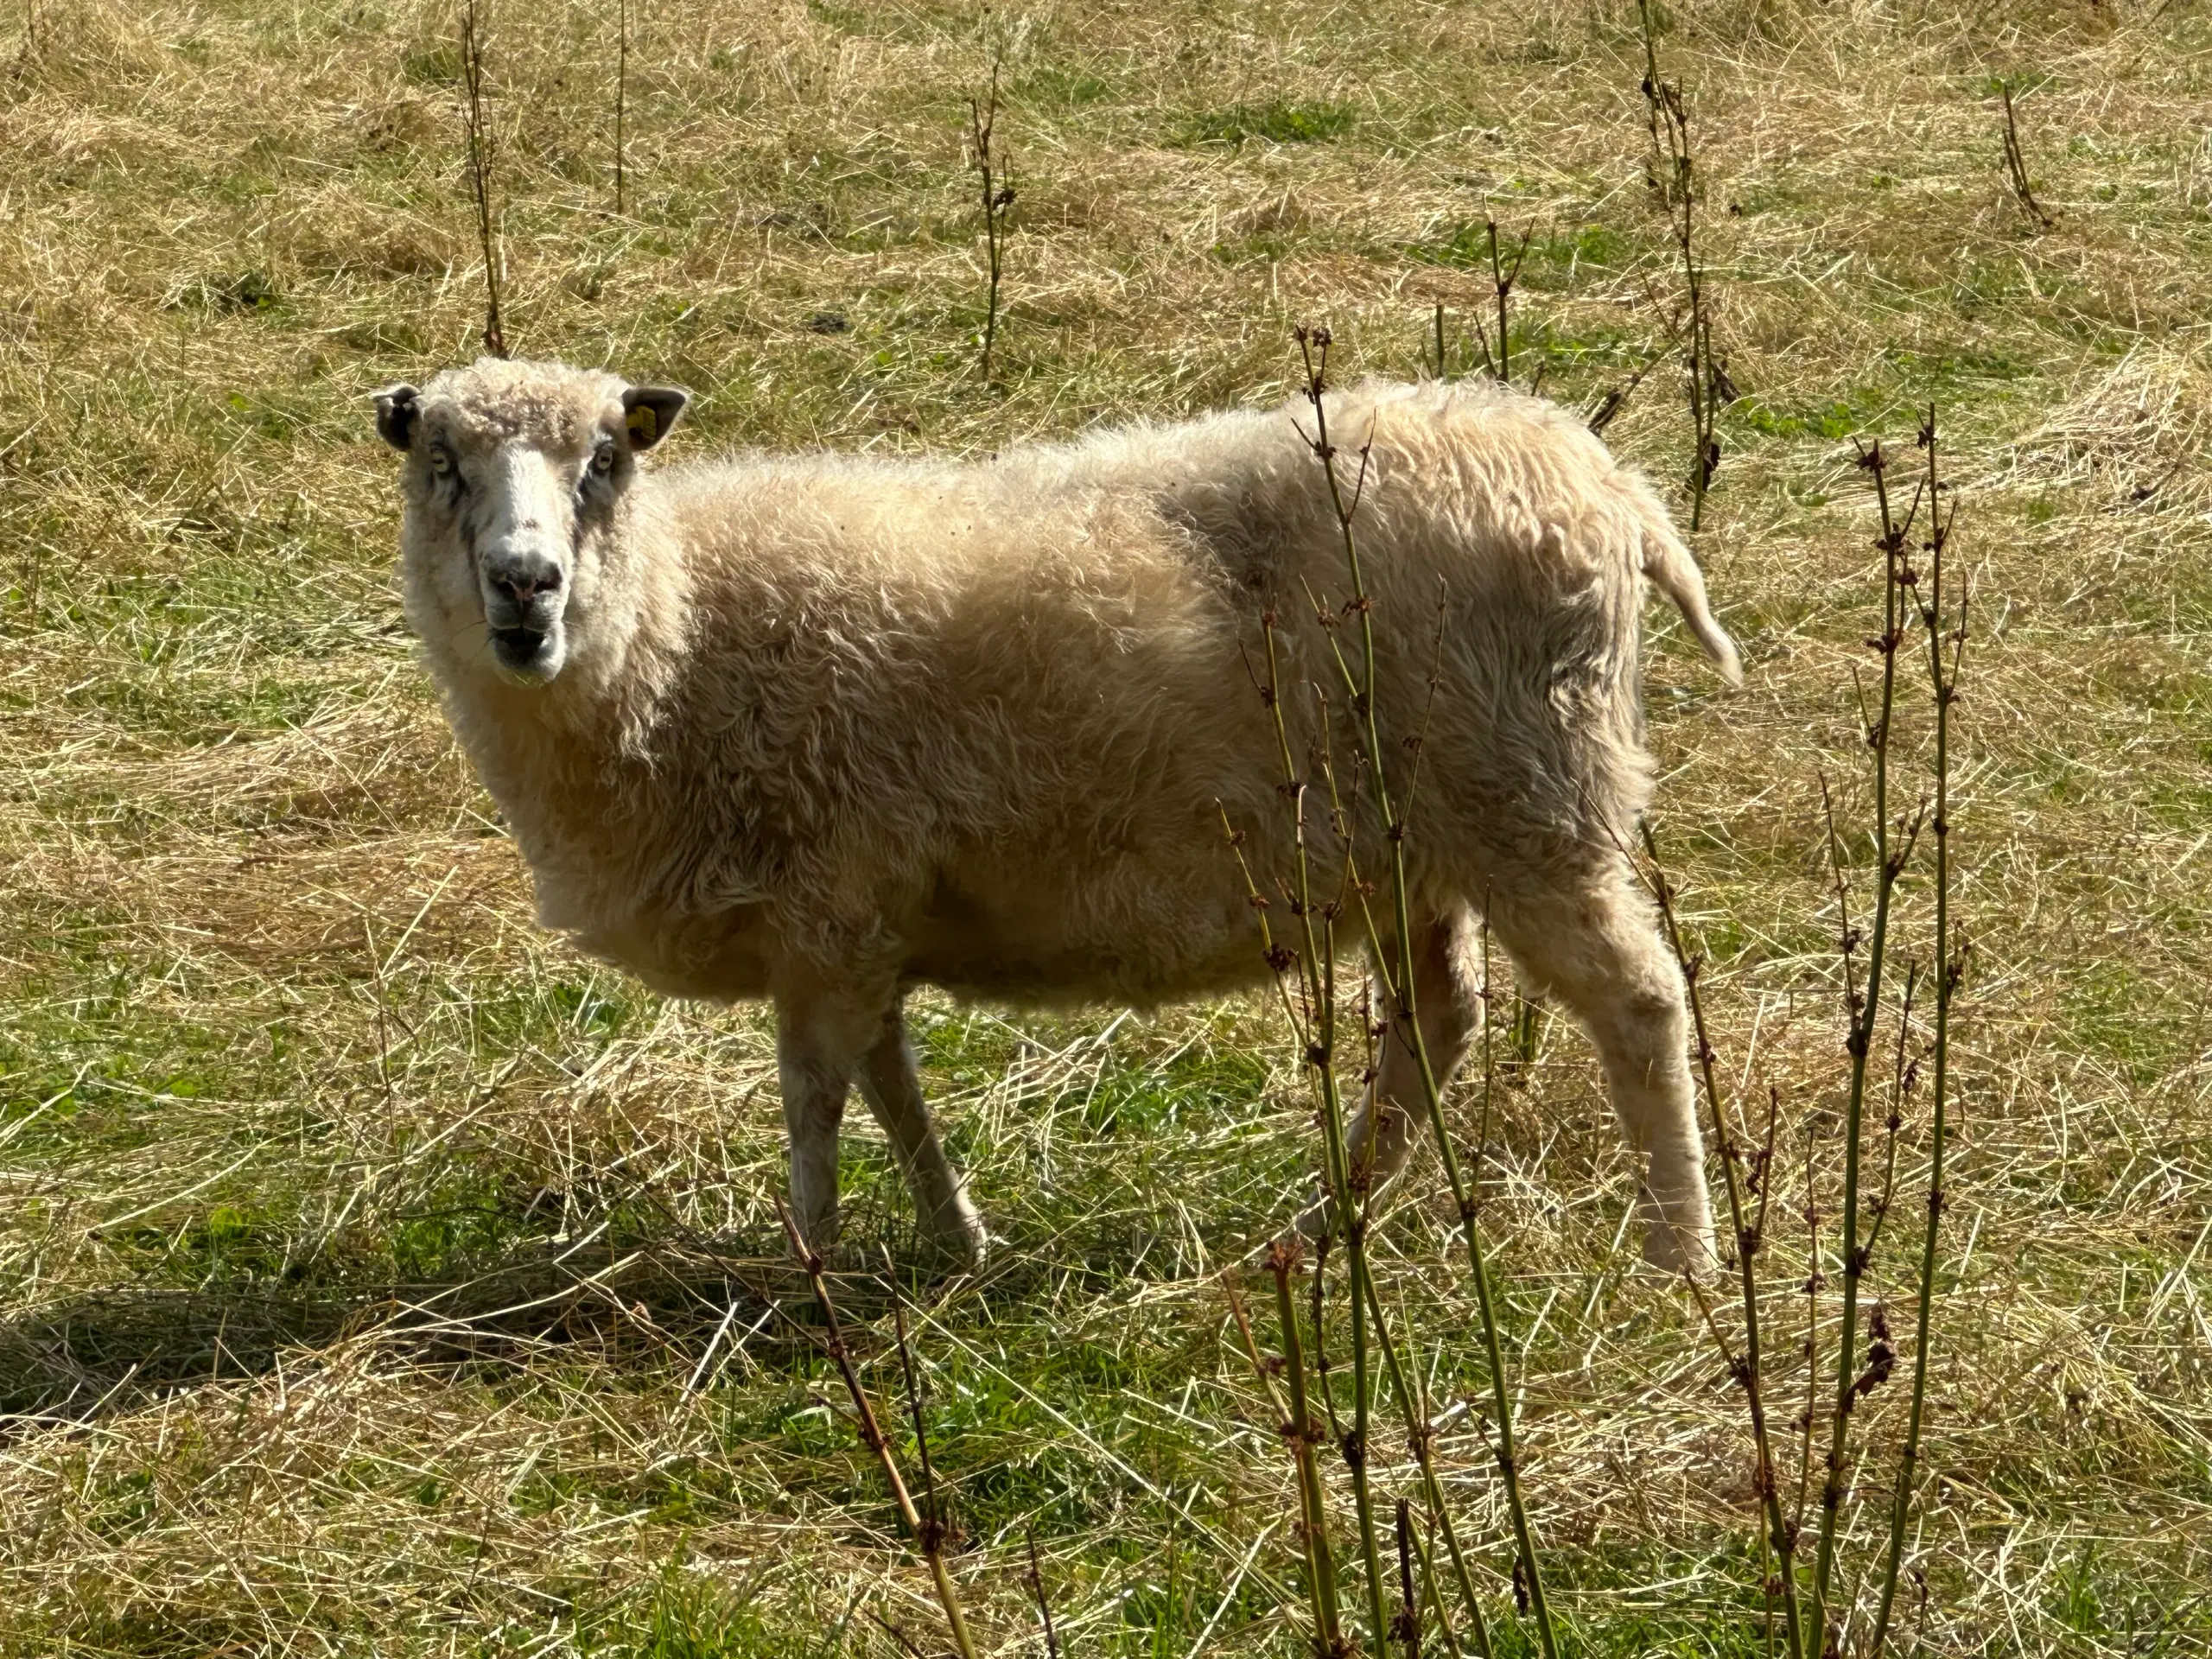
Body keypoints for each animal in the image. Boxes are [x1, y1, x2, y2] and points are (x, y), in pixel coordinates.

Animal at [372, 360, 1734, 1274]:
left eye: (605, 461)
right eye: (441, 464)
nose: (525, 585)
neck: (679, 629)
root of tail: (1606, 484)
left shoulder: (826, 904)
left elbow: (815, 1100)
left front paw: (806, 1264)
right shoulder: (857, 927)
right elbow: (890, 1088)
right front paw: (955, 1238)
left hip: (1531, 794)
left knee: (1636, 1004)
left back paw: (1681, 1258)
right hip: (1412, 842)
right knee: (1437, 1024)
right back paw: (1320, 1228)